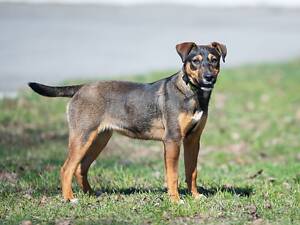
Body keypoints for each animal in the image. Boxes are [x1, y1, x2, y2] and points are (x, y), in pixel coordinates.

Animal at [29, 41, 227, 203]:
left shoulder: (193, 140)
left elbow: (191, 171)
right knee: (66, 168)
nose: (209, 77)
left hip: (99, 139)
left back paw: (91, 194)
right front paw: (175, 200)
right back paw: (69, 198)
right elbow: (173, 175)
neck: (192, 93)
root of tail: (81, 88)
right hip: (82, 137)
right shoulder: (173, 139)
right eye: (195, 61)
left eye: (214, 60)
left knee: (80, 168)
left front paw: (195, 196)